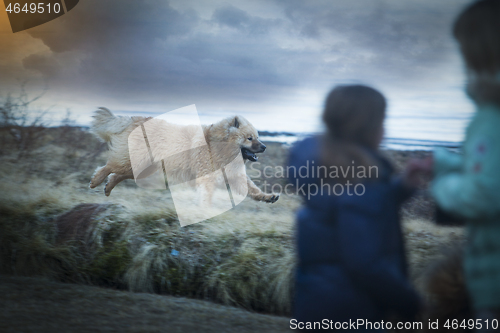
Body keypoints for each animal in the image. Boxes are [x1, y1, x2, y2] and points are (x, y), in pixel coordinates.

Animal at [88, 107, 280, 204]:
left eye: (257, 136)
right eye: (250, 138)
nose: (264, 147)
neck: (219, 146)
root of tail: (135, 119)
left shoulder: (234, 176)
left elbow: (253, 189)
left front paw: (267, 197)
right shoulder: (207, 176)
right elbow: (207, 195)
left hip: (145, 167)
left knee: (118, 174)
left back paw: (108, 187)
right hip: (136, 161)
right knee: (109, 166)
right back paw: (96, 180)